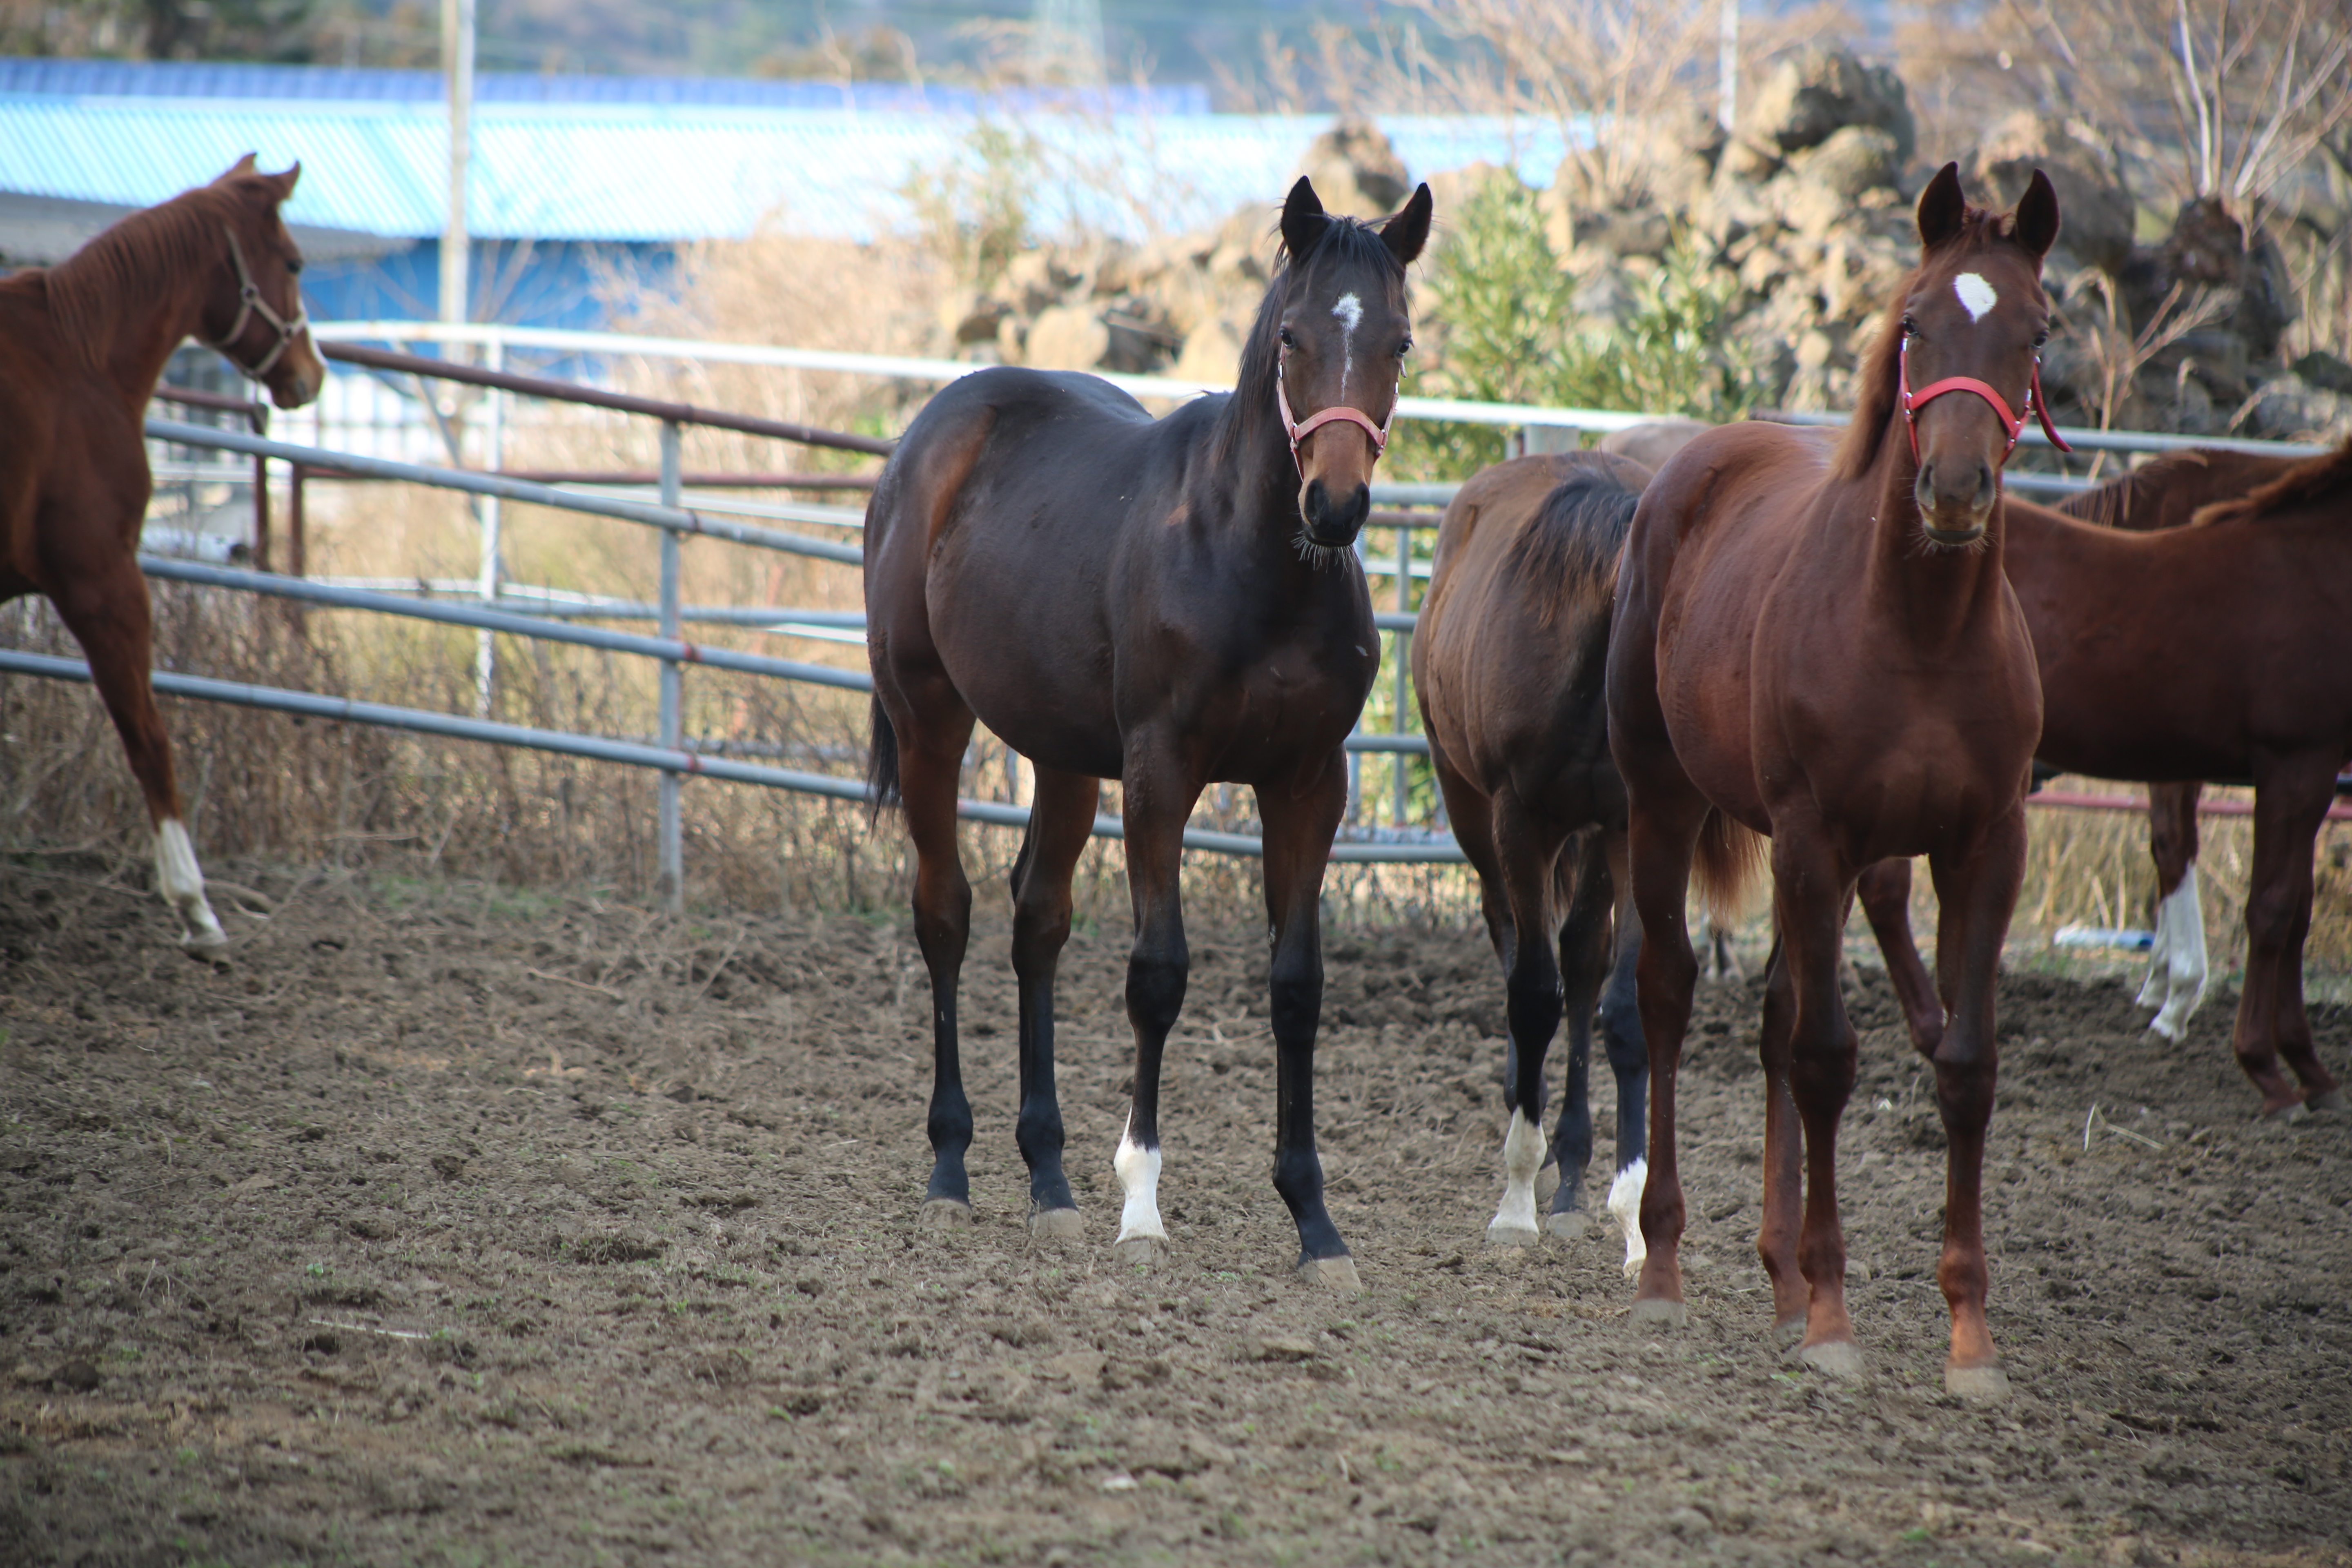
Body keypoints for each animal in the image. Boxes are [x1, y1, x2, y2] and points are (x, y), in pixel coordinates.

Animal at [0, 156, 322, 959]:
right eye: (294, 262)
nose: (313, 372)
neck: (80, 353)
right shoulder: (103, 581)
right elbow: (147, 732)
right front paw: (195, 907)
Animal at [870, 177, 1430, 1288]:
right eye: (1293, 335)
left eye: (1397, 342)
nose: (1336, 506)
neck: (1253, 565)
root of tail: (927, 436)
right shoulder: (1162, 774)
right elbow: (1157, 975)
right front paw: (1140, 1206)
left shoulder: (1309, 783)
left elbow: (1295, 986)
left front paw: (1315, 1222)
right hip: (928, 719)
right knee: (944, 914)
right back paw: (950, 1172)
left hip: (1059, 757)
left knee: (1035, 923)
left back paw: (1049, 1184)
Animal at [1608, 165, 2051, 1401]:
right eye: (1913, 324)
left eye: (2035, 329)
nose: (1952, 490)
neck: (1919, 634)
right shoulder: (1817, 839)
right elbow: (1824, 1059)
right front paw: (1834, 1322)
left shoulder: (1982, 847)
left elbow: (1962, 1065)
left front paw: (1968, 1339)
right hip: (1663, 806)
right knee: (1666, 997)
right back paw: (1666, 1267)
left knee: (1768, 1018)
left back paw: (1777, 1280)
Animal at [1853, 442, 2352, 1123]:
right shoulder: (2294, 764)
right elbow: (2270, 910)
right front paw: (2261, 1064)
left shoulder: (2287, 770)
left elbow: (2290, 908)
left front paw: (2305, 1065)